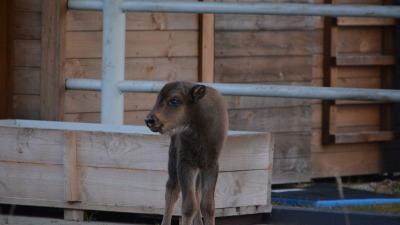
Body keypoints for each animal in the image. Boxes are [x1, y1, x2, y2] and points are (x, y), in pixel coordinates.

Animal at [145, 81, 228, 225]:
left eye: (174, 101)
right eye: (158, 99)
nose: (150, 120)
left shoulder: (210, 164)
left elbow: (208, 205)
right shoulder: (185, 163)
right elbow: (189, 206)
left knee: (196, 192)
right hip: (173, 160)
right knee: (171, 191)